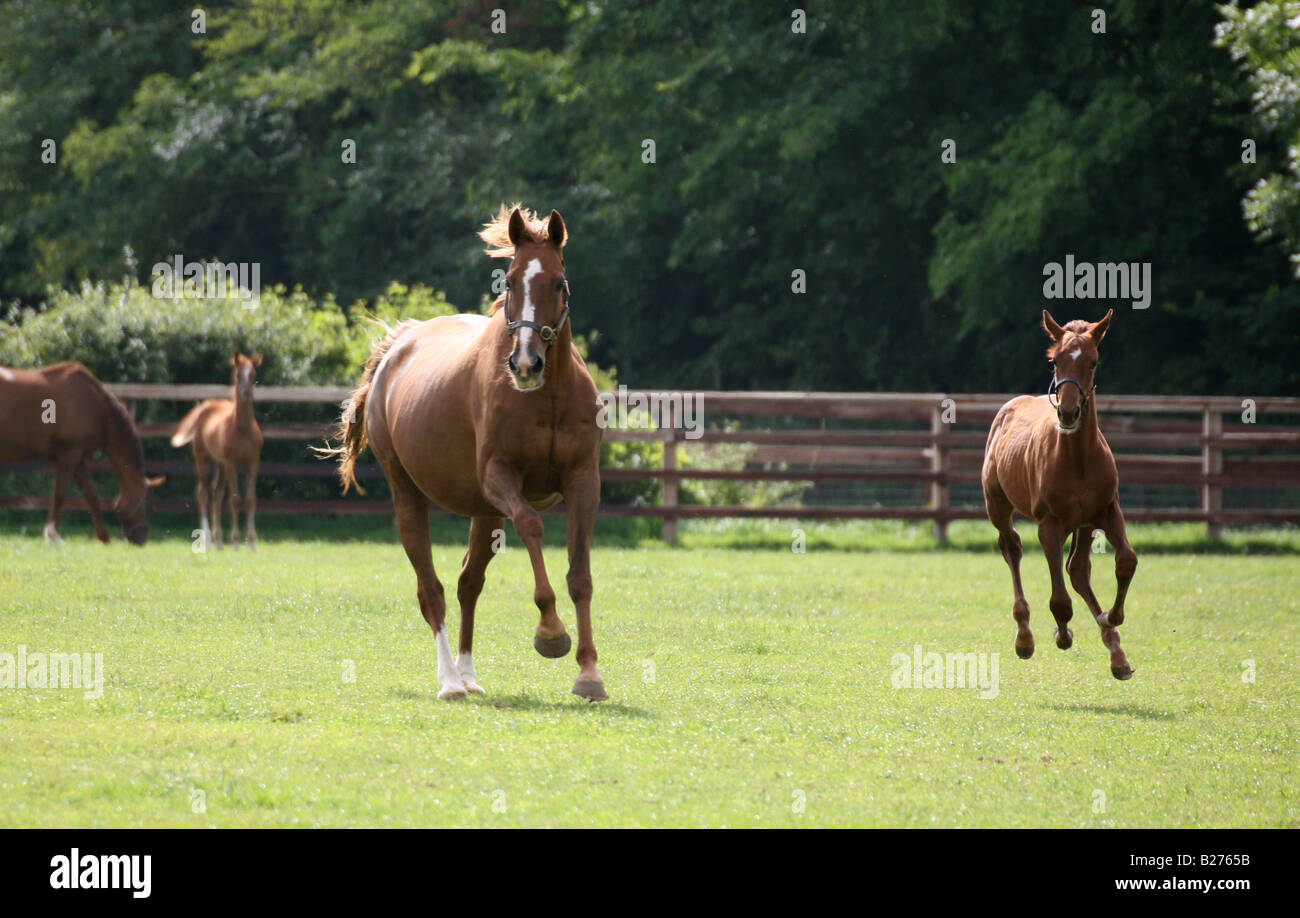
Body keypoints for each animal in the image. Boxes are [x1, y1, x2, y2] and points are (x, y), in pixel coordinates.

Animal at [0, 358, 165, 543]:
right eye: (148, 505)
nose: (140, 539)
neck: (96, 406)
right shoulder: (70, 454)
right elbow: (60, 494)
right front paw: (53, 535)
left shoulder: (81, 460)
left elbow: (92, 497)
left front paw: (104, 538)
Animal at [171, 353, 265, 546]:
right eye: (238, 375)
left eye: (253, 374)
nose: (246, 394)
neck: (242, 428)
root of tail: (203, 407)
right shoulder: (232, 463)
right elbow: (235, 500)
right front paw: (236, 543)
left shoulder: (253, 462)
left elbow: (250, 499)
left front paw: (252, 543)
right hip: (203, 459)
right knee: (202, 492)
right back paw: (207, 539)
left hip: (219, 464)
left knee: (216, 494)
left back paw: (219, 541)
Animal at [325, 201, 608, 702]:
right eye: (509, 282)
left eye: (559, 283)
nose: (526, 364)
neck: (548, 397)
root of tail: (398, 345)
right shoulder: (500, 478)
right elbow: (532, 527)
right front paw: (551, 632)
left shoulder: (582, 482)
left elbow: (580, 576)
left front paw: (590, 673)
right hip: (410, 495)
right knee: (431, 588)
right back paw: (450, 681)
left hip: (485, 512)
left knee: (467, 584)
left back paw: (468, 673)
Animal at [982, 310, 1138, 676]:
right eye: (1055, 361)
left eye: (1093, 362)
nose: (1067, 412)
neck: (1077, 459)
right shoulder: (1049, 524)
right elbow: (1060, 600)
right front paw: (1062, 634)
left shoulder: (1108, 510)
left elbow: (1126, 560)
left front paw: (1113, 616)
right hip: (998, 505)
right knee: (1012, 548)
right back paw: (1025, 636)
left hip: (1084, 523)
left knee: (1078, 570)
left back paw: (1115, 650)